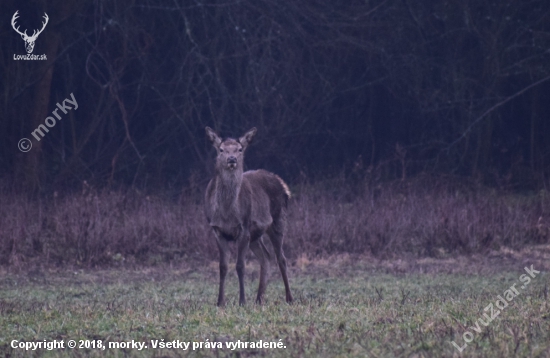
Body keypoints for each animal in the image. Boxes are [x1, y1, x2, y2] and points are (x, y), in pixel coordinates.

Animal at [206, 127, 294, 306]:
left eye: (240, 149)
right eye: (221, 149)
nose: (232, 159)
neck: (226, 214)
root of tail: (283, 184)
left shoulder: (244, 228)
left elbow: (240, 266)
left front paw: (242, 300)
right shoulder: (217, 230)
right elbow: (222, 266)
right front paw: (220, 302)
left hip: (278, 220)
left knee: (281, 258)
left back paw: (289, 298)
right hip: (256, 235)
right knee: (266, 257)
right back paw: (259, 298)